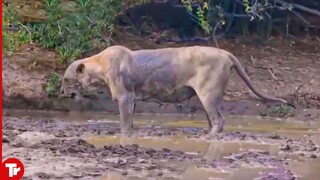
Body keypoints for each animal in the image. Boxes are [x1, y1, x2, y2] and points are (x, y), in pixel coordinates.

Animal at [60, 45, 288, 135]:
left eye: (66, 80)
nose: (62, 93)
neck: (99, 67)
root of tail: (226, 53)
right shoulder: (132, 99)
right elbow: (130, 121)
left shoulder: (125, 96)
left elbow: (124, 123)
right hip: (208, 96)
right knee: (214, 119)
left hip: (208, 93)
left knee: (219, 120)